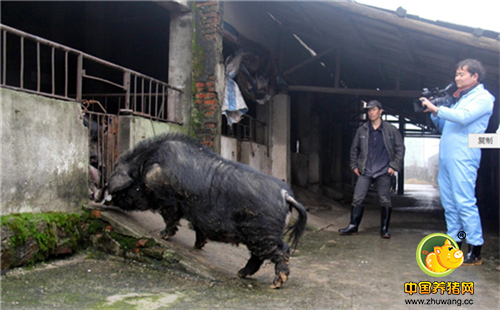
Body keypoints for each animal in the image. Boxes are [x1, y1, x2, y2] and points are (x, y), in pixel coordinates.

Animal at [105, 133, 306, 288]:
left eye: (127, 187)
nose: (104, 197)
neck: (146, 166)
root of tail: (285, 195)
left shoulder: (167, 200)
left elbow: (170, 218)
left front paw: (162, 235)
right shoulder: (196, 212)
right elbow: (198, 228)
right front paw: (197, 246)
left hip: (262, 234)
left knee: (281, 251)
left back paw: (275, 284)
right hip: (259, 236)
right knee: (259, 257)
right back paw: (240, 273)